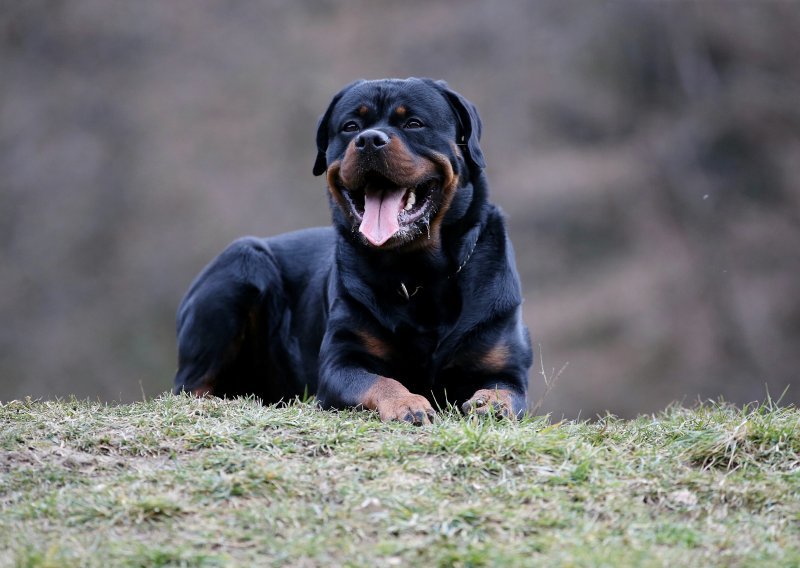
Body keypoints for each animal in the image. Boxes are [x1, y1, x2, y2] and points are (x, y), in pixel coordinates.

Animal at [177, 77, 536, 422]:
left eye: (414, 124)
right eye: (350, 126)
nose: (368, 140)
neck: (417, 273)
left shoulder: (505, 367)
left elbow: (505, 390)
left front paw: (490, 404)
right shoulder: (341, 363)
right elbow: (381, 381)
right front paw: (407, 404)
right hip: (242, 261)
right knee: (190, 385)